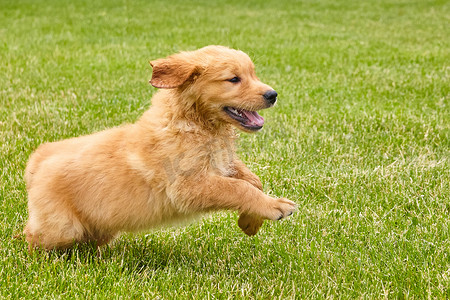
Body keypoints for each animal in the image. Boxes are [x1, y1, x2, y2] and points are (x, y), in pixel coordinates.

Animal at [23, 45, 296, 250]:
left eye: (253, 75)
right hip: (62, 228)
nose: (273, 94)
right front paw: (275, 207)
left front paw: (251, 221)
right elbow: (239, 188)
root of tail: (39, 157)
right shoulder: (187, 186)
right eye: (234, 79)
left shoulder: (221, 164)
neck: (193, 122)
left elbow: (253, 181)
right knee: (35, 237)